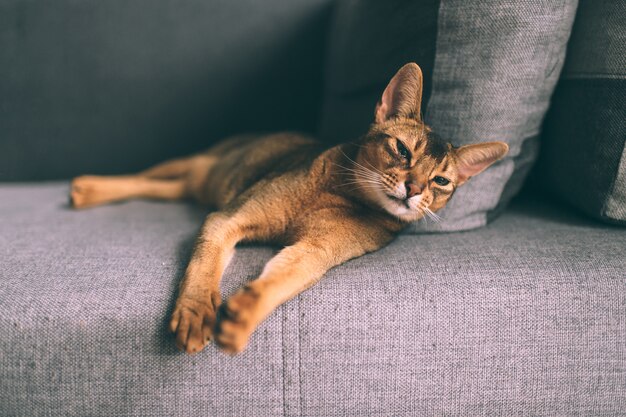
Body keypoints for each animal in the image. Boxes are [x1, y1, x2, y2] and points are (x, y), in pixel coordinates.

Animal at [69, 63, 508, 352]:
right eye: (401, 149)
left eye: (442, 182)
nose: (414, 189)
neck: (345, 197)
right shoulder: (228, 219)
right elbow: (203, 267)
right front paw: (195, 314)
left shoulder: (316, 253)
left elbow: (282, 279)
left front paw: (243, 314)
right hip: (201, 164)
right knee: (147, 177)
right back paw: (88, 188)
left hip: (199, 183)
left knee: (170, 189)